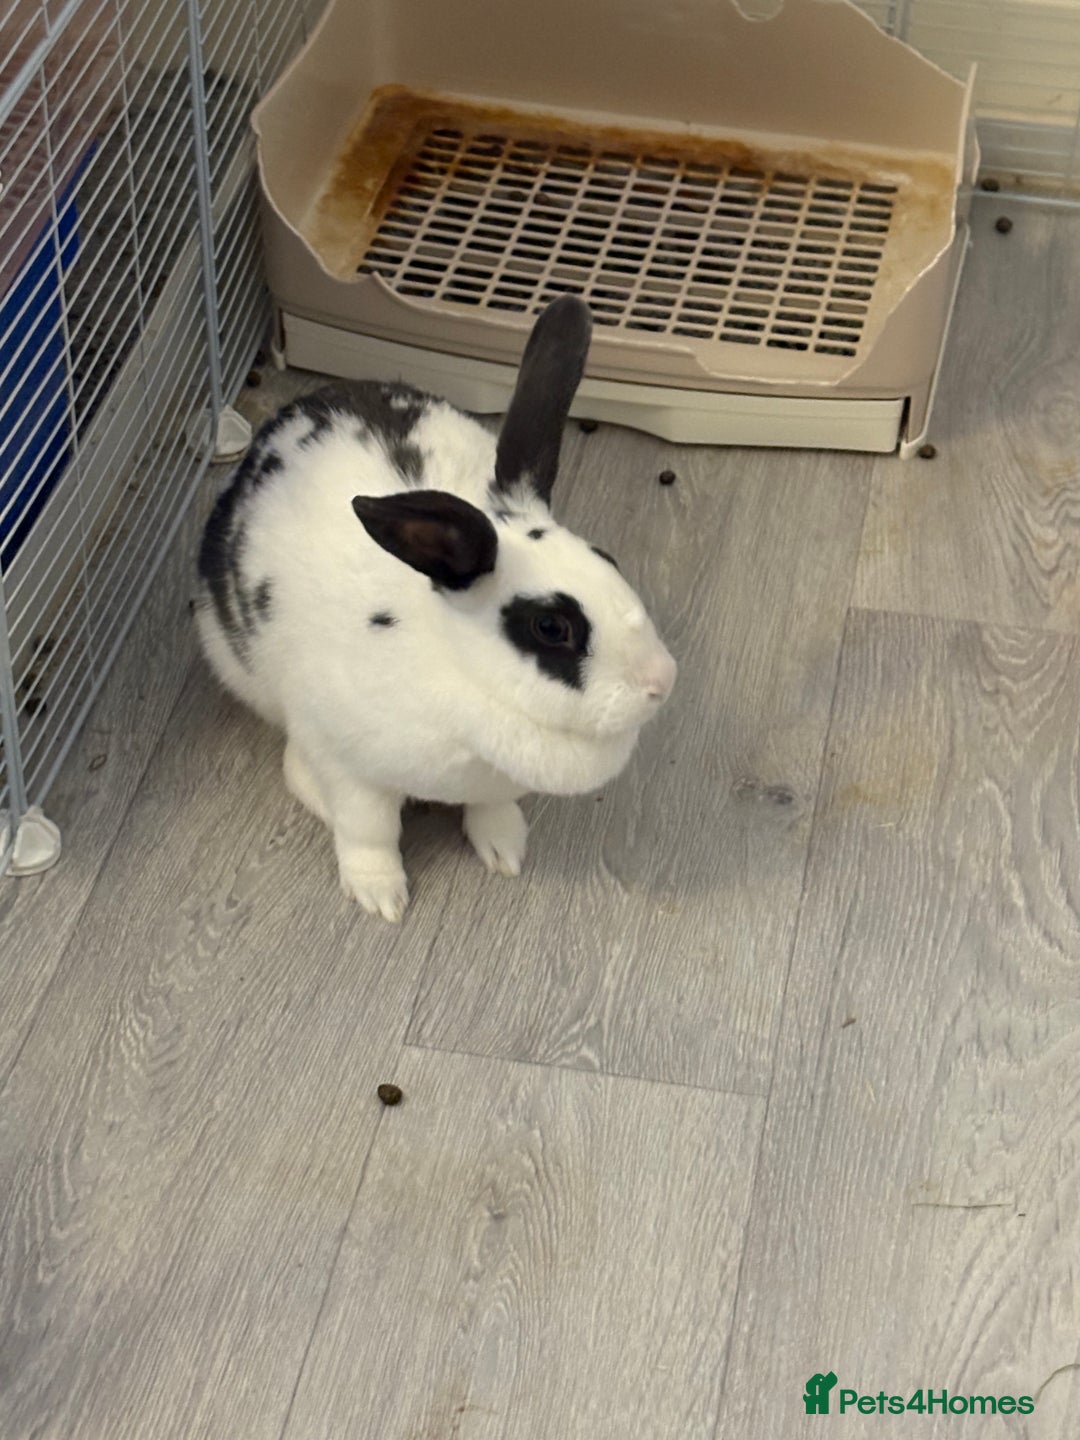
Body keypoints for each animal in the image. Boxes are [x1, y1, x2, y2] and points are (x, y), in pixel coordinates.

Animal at [194, 296, 677, 920]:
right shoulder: (354, 774)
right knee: (297, 765)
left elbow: (490, 810)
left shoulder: (495, 782)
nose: (662, 681)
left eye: (608, 558)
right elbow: (368, 832)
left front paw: (505, 850)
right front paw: (381, 897)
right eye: (551, 626)